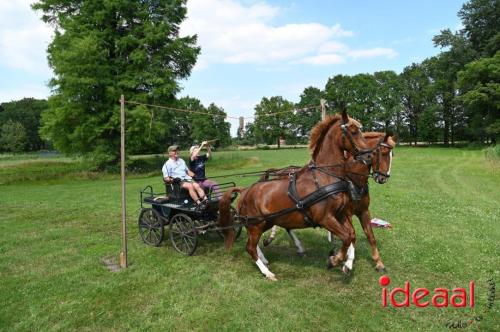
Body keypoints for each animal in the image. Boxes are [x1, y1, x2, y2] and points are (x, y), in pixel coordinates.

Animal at [219, 111, 372, 280]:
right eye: (353, 132)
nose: (369, 156)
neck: (324, 176)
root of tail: (245, 190)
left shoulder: (340, 214)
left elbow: (351, 235)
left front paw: (347, 264)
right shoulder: (325, 218)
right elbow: (346, 237)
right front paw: (334, 260)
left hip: (265, 222)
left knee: (254, 243)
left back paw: (265, 259)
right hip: (256, 223)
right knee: (250, 247)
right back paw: (268, 273)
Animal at [262, 132, 394, 272]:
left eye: (392, 154)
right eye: (383, 152)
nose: (383, 178)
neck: (352, 180)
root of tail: (281, 171)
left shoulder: (363, 211)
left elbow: (370, 236)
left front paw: (378, 262)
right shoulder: (345, 213)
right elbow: (352, 234)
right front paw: (348, 262)